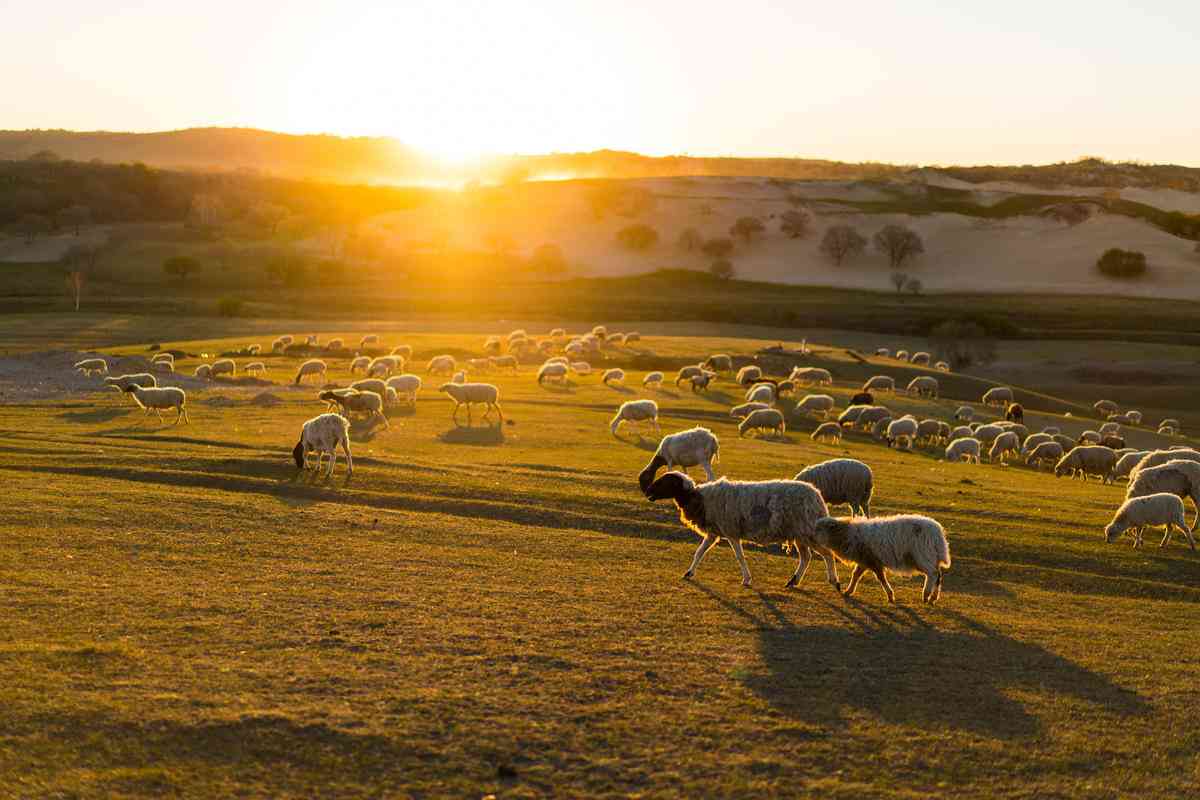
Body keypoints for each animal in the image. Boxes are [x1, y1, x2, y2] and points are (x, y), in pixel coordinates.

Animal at [638, 470, 835, 587]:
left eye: (665, 482)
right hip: (799, 533)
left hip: (807, 531)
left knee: (827, 554)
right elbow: (699, 552)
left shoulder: (731, 531)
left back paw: (834, 581)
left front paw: (747, 579)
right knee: (806, 557)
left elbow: (739, 557)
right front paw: (689, 572)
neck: (698, 498)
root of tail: (817, 497)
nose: (648, 492)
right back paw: (793, 581)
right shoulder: (714, 532)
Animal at [811, 515, 950, 604]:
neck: (847, 534)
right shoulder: (865, 561)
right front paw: (848, 591)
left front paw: (890, 596)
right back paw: (933, 597)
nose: (810, 536)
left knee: (933, 574)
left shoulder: (872, 560)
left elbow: (881, 578)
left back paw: (926, 595)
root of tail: (938, 532)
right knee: (938, 575)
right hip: (929, 556)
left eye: (819, 528)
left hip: (922, 555)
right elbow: (856, 575)